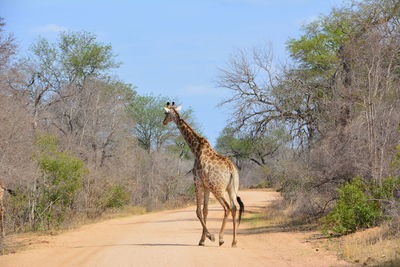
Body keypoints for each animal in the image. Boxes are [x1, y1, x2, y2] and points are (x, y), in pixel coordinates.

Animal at [162, 102, 244, 247]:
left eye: (166, 113)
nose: (163, 122)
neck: (195, 149)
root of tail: (230, 169)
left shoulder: (197, 182)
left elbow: (198, 211)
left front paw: (209, 237)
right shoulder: (206, 187)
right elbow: (205, 211)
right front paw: (203, 239)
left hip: (217, 188)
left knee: (227, 207)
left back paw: (221, 238)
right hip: (232, 188)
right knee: (234, 207)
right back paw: (234, 241)